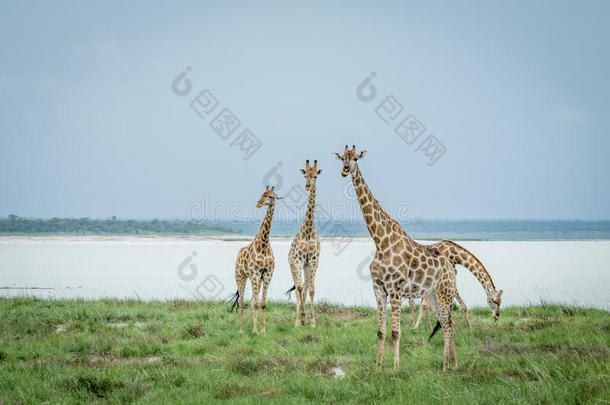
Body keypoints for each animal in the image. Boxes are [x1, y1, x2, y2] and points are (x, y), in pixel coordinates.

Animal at [332, 145, 498, 370]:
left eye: (356, 158)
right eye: (342, 158)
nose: (345, 170)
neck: (380, 241)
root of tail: (450, 265)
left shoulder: (394, 289)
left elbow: (396, 332)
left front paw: (395, 368)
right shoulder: (378, 289)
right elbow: (381, 331)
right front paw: (378, 367)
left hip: (444, 292)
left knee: (448, 323)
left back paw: (446, 366)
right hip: (432, 295)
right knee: (446, 322)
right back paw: (453, 364)